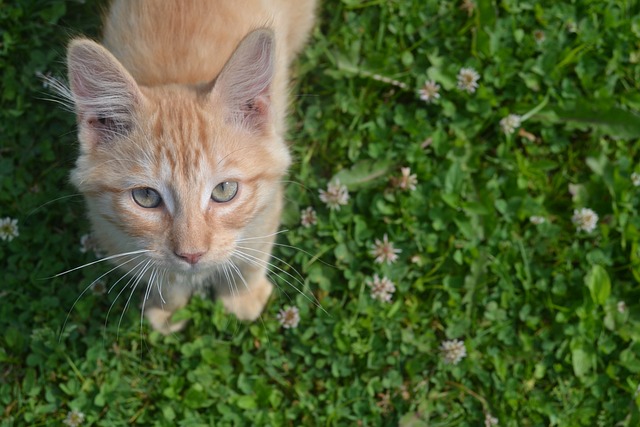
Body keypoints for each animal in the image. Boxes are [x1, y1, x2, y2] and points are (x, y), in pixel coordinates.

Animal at [61, 0, 316, 334]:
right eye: (146, 197)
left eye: (224, 190)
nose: (192, 254)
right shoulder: (115, 233)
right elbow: (163, 275)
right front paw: (168, 308)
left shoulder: (267, 205)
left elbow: (252, 258)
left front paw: (242, 297)